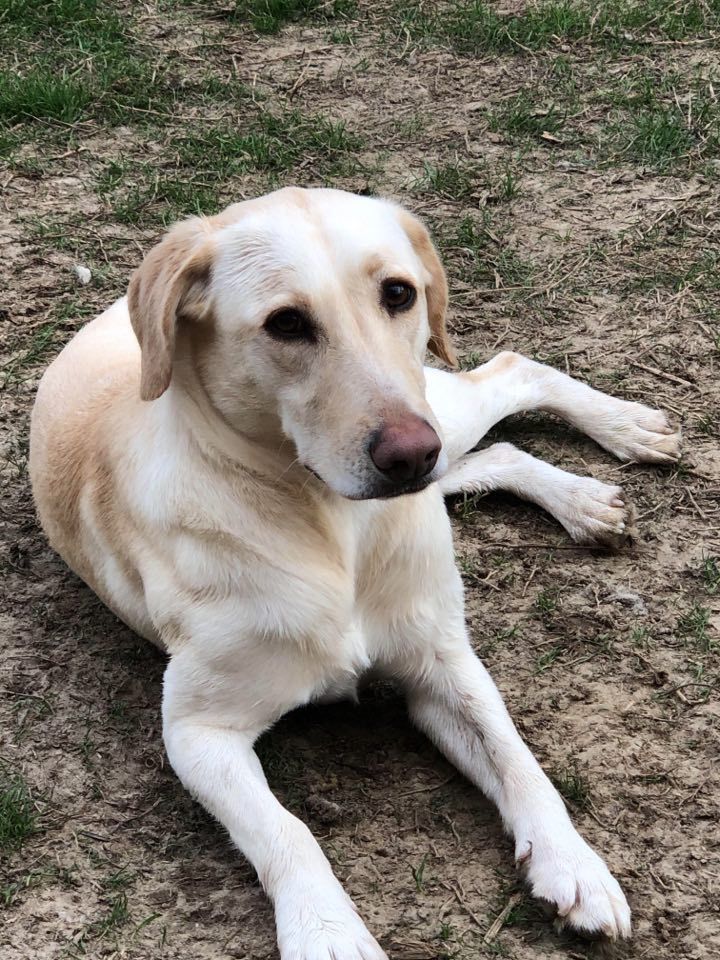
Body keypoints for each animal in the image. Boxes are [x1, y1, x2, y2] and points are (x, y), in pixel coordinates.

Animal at [29, 186, 680, 952]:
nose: (409, 454)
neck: (329, 527)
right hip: (444, 447)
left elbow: (518, 758)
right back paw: (581, 498)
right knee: (494, 448)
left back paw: (623, 430)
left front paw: (573, 862)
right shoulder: (198, 732)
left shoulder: (442, 664)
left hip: (441, 413)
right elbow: (287, 831)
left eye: (398, 293)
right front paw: (327, 931)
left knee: (514, 371)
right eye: (286, 323)